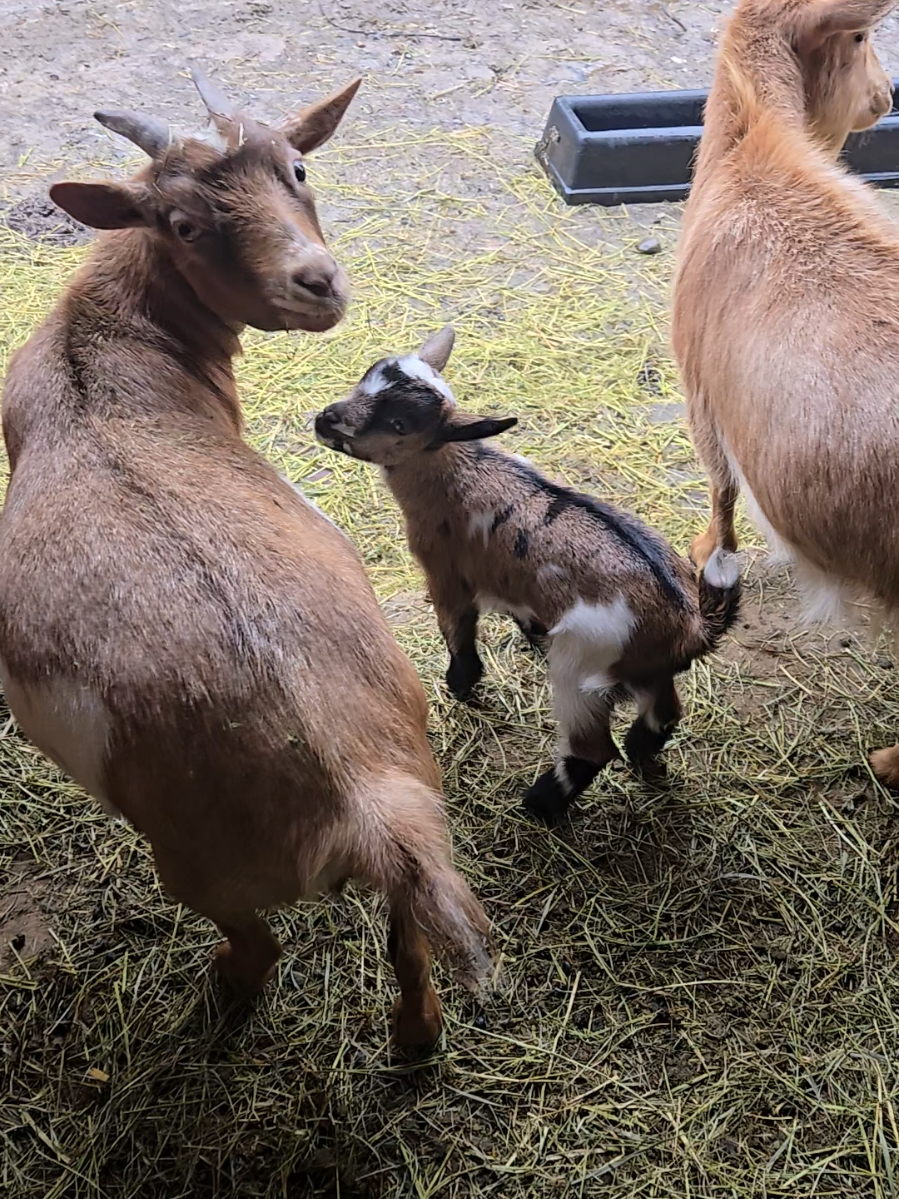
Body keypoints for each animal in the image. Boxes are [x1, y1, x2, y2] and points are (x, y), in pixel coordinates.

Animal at [0, 72, 492, 1054]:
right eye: (182, 223)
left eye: (298, 167)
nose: (316, 281)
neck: (99, 343)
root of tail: (364, 800)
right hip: (419, 793)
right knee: (407, 940)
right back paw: (415, 1039)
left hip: (197, 864)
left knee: (258, 945)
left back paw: (221, 991)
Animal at [314, 327, 741, 826]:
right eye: (367, 378)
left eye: (400, 424)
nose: (325, 420)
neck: (459, 466)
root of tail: (689, 625)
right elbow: (519, 608)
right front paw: (529, 633)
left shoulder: (445, 572)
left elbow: (457, 630)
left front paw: (461, 684)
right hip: (648, 670)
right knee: (664, 714)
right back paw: (639, 753)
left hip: (581, 670)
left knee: (592, 749)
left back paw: (539, 804)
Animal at [671, 0, 899, 783]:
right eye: (861, 38)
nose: (884, 98)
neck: (751, 156)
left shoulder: (703, 396)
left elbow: (720, 494)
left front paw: (701, 552)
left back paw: (887, 762)